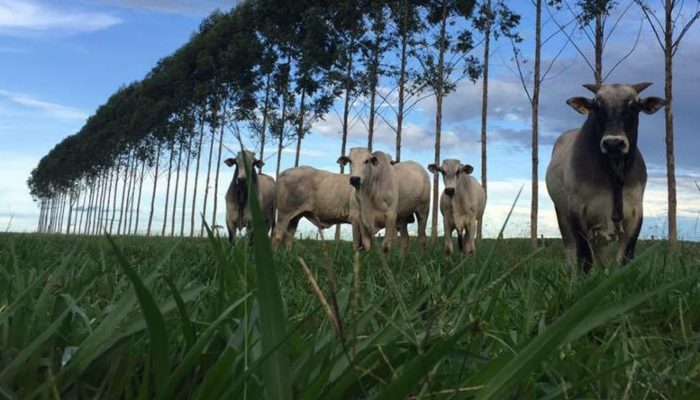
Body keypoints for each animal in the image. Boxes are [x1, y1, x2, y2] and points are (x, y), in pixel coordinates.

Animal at [544, 83, 664, 274]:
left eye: (633, 107)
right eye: (597, 107)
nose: (613, 143)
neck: (614, 171)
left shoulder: (636, 212)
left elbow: (625, 257)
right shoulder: (577, 210)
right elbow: (585, 256)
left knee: (601, 251)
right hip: (562, 213)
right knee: (570, 248)